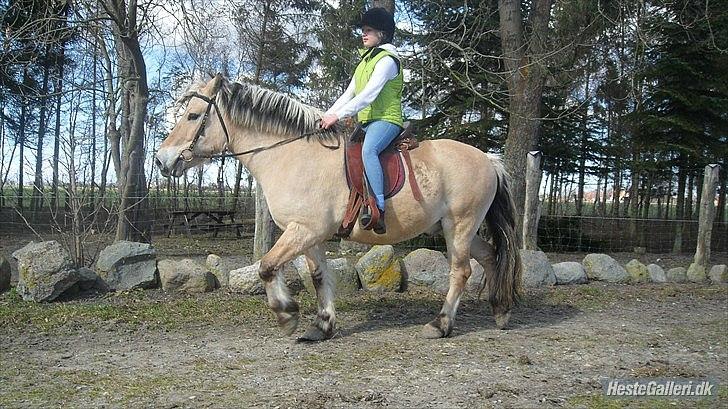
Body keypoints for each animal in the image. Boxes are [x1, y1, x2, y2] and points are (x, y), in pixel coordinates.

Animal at [156, 74, 520, 342]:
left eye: (192, 115)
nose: (161, 160)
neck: (292, 155)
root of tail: (488, 159)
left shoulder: (304, 231)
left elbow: (267, 266)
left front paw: (287, 314)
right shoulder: (309, 236)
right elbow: (317, 277)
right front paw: (323, 325)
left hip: (458, 225)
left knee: (461, 271)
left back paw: (441, 324)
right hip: (458, 228)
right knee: (490, 257)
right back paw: (501, 310)